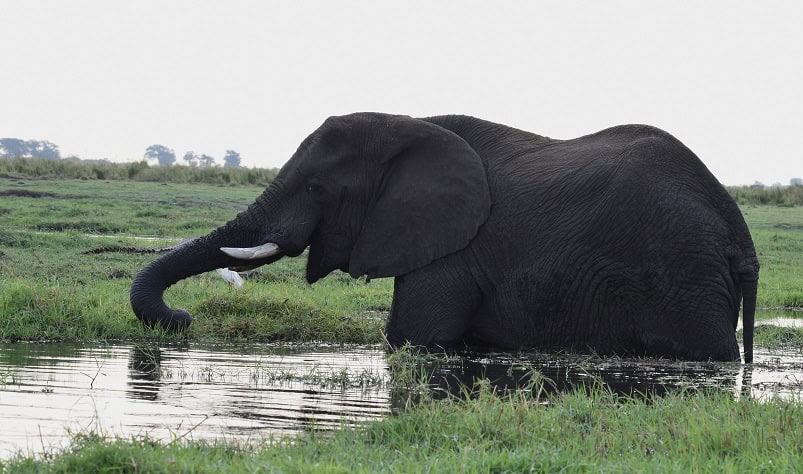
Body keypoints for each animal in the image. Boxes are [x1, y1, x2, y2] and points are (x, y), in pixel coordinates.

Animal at [130, 113, 759, 362]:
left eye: (316, 187)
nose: (182, 318)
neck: (407, 126)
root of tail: (739, 235)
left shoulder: (457, 251)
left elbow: (411, 338)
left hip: (683, 274)